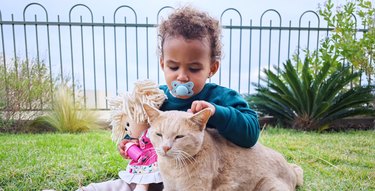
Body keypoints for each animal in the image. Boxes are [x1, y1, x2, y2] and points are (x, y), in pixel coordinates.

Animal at [142, 104, 304, 191]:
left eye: (179, 137)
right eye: (159, 134)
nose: (165, 148)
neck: (172, 168)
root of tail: (290, 168)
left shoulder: (196, 188)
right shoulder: (169, 187)